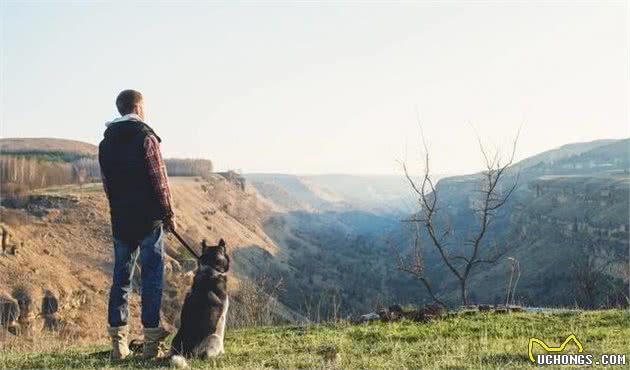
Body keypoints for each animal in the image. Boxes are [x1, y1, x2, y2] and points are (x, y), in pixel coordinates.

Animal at [172, 240, 231, 368]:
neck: (210, 268)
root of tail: (187, 354)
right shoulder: (222, 317)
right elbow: (222, 335)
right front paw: (223, 353)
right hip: (213, 338)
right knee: (206, 355)